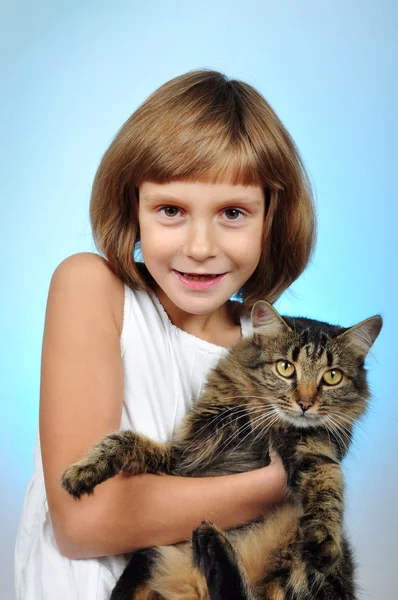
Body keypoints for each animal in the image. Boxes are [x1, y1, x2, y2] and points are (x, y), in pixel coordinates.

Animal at [60, 302, 380, 596]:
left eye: (332, 376)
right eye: (286, 368)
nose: (304, 403)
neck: (259, 424)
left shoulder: (316, 450)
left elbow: (327, 487)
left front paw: (323, 537)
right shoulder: (185, 458)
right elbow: (123, 440)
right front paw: (83, 472)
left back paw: (212, 543)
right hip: (149, 557)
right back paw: (210, 544)